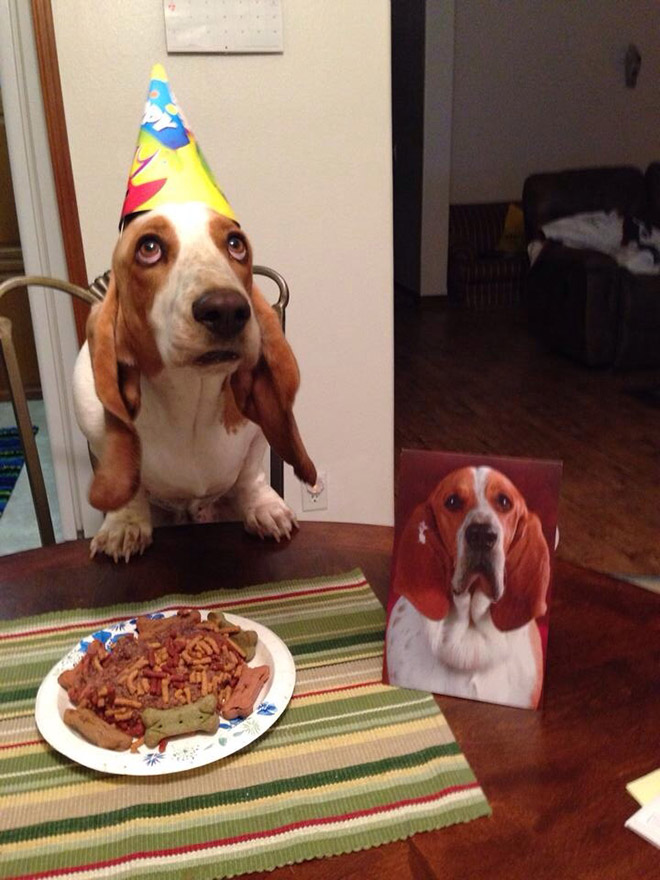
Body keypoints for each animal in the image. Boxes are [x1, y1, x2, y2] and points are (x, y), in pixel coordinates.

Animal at [72, 202, 318, 560]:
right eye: (148, 247)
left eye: (235, 244)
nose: (226, 309)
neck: (190, 397)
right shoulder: (98, 438)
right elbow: (132, 490)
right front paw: (125, 526)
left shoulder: (256, 439)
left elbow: (251, 475)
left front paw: (265, 508)